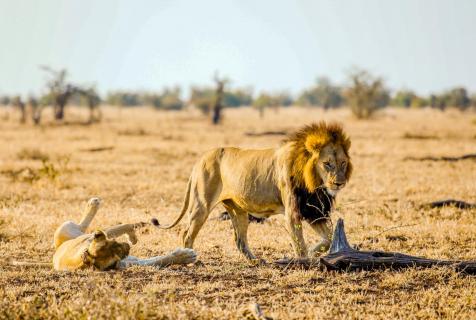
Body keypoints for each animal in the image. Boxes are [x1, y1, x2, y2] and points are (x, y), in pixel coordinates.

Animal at [159, 121, 350, 262]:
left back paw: (255, 261)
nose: (339, 183)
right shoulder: (293, 212)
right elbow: (299, 244)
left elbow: (328, 239)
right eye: (327, 164)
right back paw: (189, 258)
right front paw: (304, 261)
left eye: (343, 163)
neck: (315, 184)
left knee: (239, 239)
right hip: (201, 204)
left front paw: (312, 252)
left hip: (238, 210)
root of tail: (199, 160)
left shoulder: (313, 211)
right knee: (187, 233)